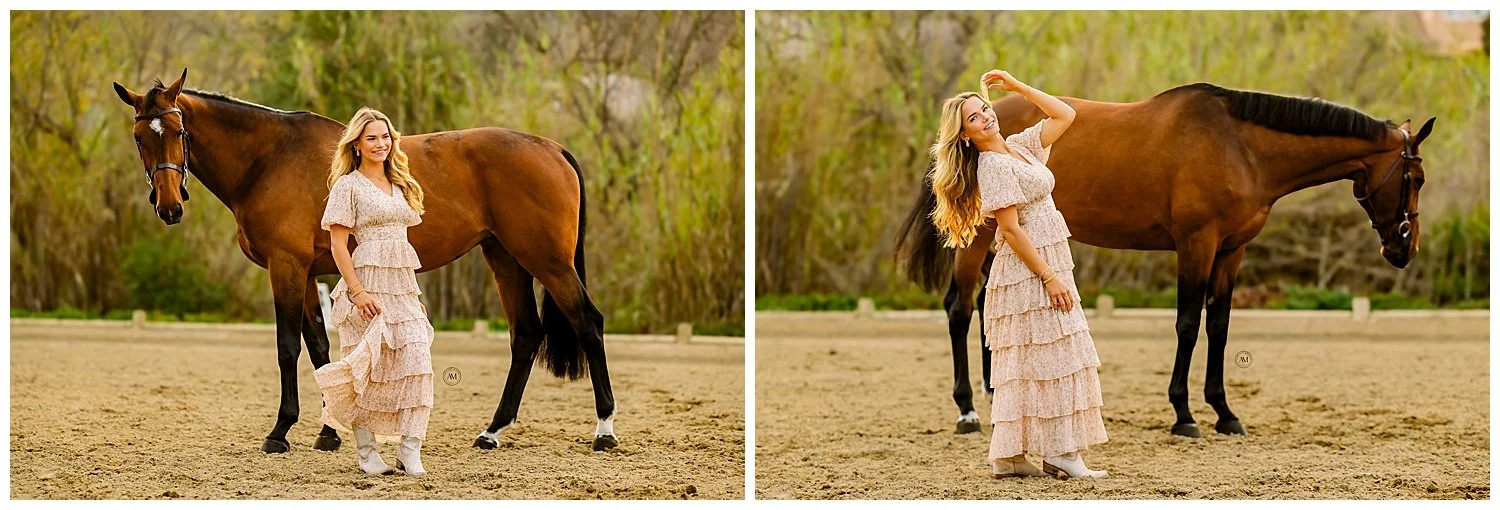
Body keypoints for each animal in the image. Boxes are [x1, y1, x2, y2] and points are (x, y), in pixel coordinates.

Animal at [113, 69, 620, 454]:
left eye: (179, 132)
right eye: (139, 137)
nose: (169, 206)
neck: (270, 158)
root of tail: (551, 148)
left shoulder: (286, 267)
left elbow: (287, 348)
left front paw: (280, 433)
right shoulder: (309, 272)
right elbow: (320, 350)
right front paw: (328, 432)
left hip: (548, 262)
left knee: (587, 323)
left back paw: (604, 431)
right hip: (506, 259)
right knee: (526, 335)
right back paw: (491, 432)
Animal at [896, 83, 1432, 437]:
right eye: (1417, 178)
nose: (1404, 248)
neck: (1241, 146)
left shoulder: (1231, 251)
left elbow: (1219, 326)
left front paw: (1225, 413)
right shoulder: (1197, 245)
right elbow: (1188, 324)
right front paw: (1184, 414)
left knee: (988, 307)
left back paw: (996, 393)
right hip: (980, 237)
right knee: (959, 308)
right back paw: (967, 411)